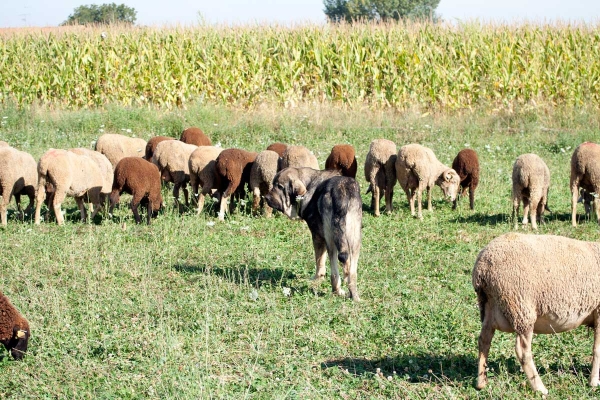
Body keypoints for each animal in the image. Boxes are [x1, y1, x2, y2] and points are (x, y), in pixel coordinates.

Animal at [266, 167, 360, 302]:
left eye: (279, 186)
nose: (266, 198)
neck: (309, 183)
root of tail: (341, 192)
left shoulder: (318, 237)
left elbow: (319, 262)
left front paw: (316, 279)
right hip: (354, 240)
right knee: (350, 271)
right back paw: (354, 296)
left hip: (331, 241)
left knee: (334, 272)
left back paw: (337, 291)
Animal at [474, 233, 600, 396]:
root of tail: (482, 268)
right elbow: (597, 349)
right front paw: (594, 383)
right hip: (521, 308)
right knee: (522, 351)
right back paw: (540, 388)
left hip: (489, 307)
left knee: (484, 340)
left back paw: (481, 383)